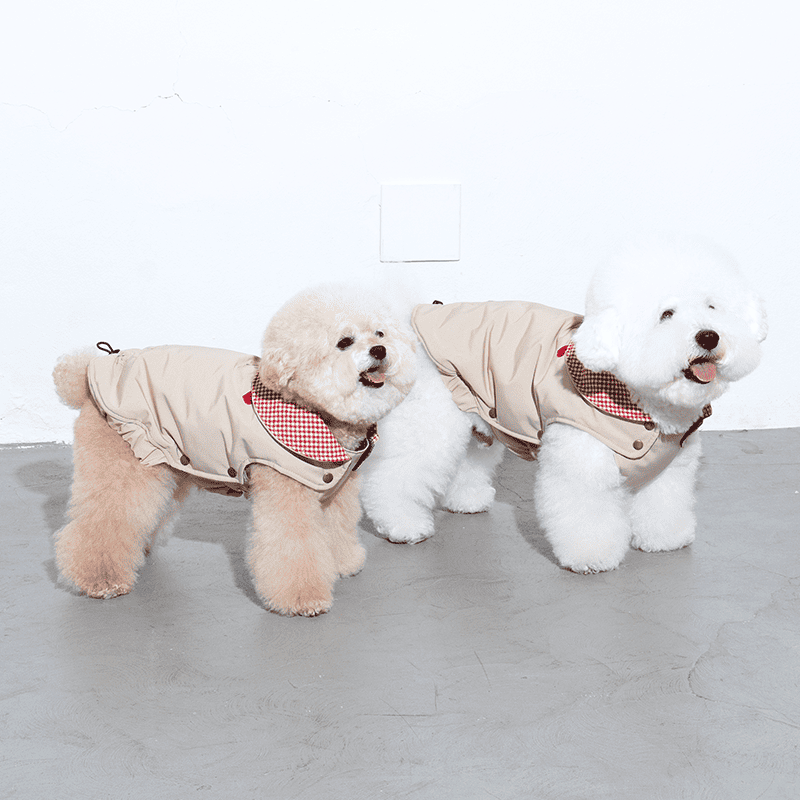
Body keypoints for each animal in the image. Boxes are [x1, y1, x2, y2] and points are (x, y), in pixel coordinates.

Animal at [53, 284, 416, 615]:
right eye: (344, 342)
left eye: (379, 332)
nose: (380, 350)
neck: (315, 412)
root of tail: (86, 374)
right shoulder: (286, 489)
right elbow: (292, 545)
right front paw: (302, 599)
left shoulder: (334, 492)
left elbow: (335, 530)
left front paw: (341, 563)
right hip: (123, 463)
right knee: (101, 521)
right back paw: (100, 579)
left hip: (171, 462)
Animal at [360, 238, 767, 573]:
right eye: (666, 314)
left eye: (712, 306)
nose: (709, 336)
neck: (639, 402)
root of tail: (407, 324)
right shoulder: (581, 461)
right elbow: (585, 512)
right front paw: (593, 556)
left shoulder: (669, 466)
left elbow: (663, 503)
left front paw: (664, 537)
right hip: (432, 420)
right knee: (395, 476)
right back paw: (401, 523)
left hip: (479, 414)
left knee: (468, 458)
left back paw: (466, 499)